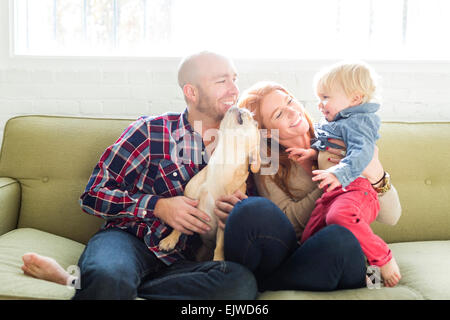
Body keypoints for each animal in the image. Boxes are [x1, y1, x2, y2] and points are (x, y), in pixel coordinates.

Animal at [159, 106, 262, 262]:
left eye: (255, 123)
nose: (240, 106)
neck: (223, 163)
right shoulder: (189, 202)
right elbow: (179, 226)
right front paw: (170, 239)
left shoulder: (223, 221)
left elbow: (220, 244)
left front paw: (219, 259)